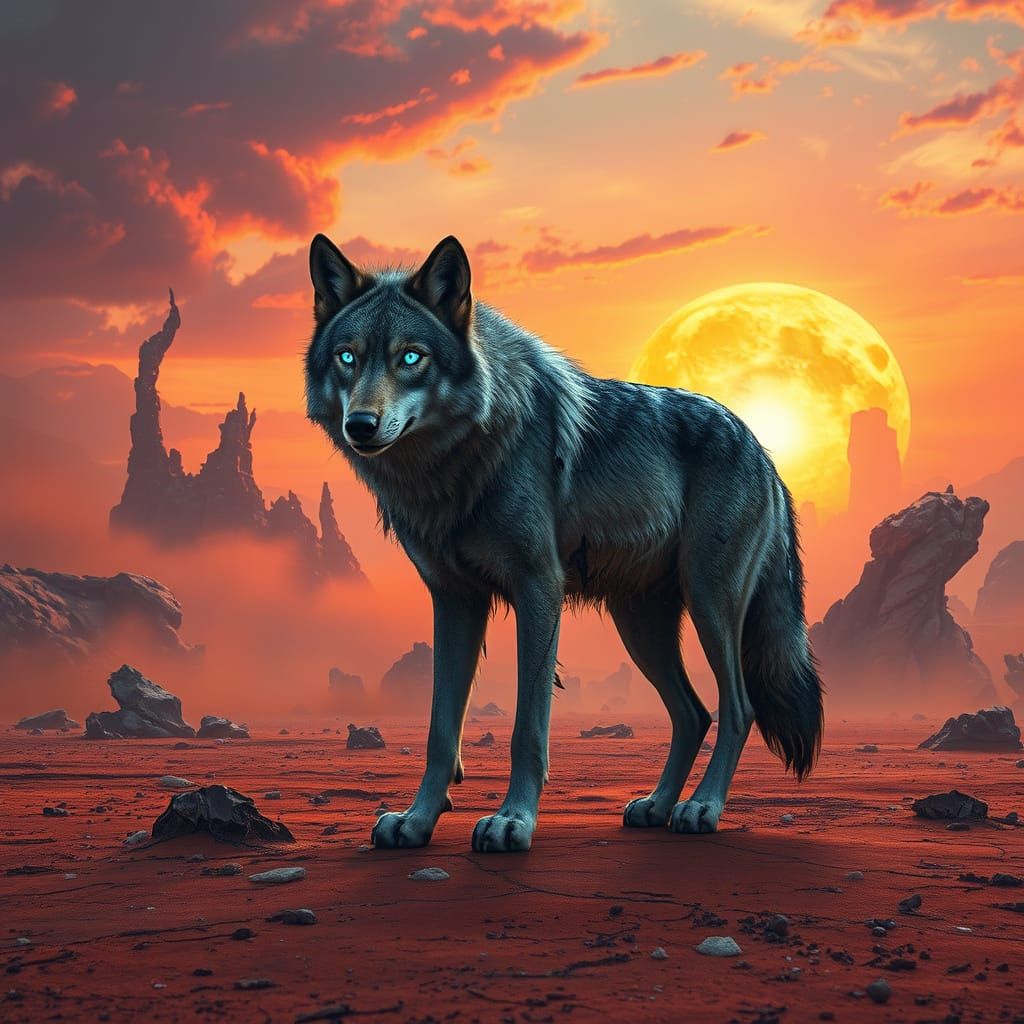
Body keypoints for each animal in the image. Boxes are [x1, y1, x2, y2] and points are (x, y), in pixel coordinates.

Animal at [304, 233, 824, 852]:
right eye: (348, 357)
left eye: (411, 357)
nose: (360, 424)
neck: (455, 467)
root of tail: (762, 447)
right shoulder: (455, 600)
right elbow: (440, 731)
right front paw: (417, 820)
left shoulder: (539, 589)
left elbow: (527, 729)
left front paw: (513, 820)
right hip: (640, 625)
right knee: (694, 713)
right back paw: (657, 805)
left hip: (709, 604)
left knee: (738, 707)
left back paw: (701, 808)